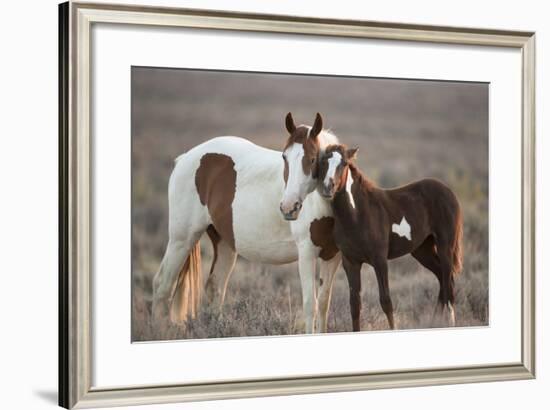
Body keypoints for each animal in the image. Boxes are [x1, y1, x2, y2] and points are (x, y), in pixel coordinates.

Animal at [151, 112, 340, 334]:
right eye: (284, 157)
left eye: (312, 159)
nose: (288, 207)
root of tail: (186, 158)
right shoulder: (307, 253)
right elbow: (311, 304)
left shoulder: (333, 256)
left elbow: (324, 304)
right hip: (181, 239)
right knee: (162, 285)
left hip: (224, 244)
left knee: (215, 289)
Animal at [320, 144, 466, 330]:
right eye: (323, 161)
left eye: (344, 163)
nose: (328, 187)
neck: (358, 214)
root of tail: (448, 191)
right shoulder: (350, 262)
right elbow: (355, 304)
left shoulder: (380, 260)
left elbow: (386, 301)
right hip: (422, 250)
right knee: (442, 278)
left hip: (445, 246)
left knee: (449, 286)